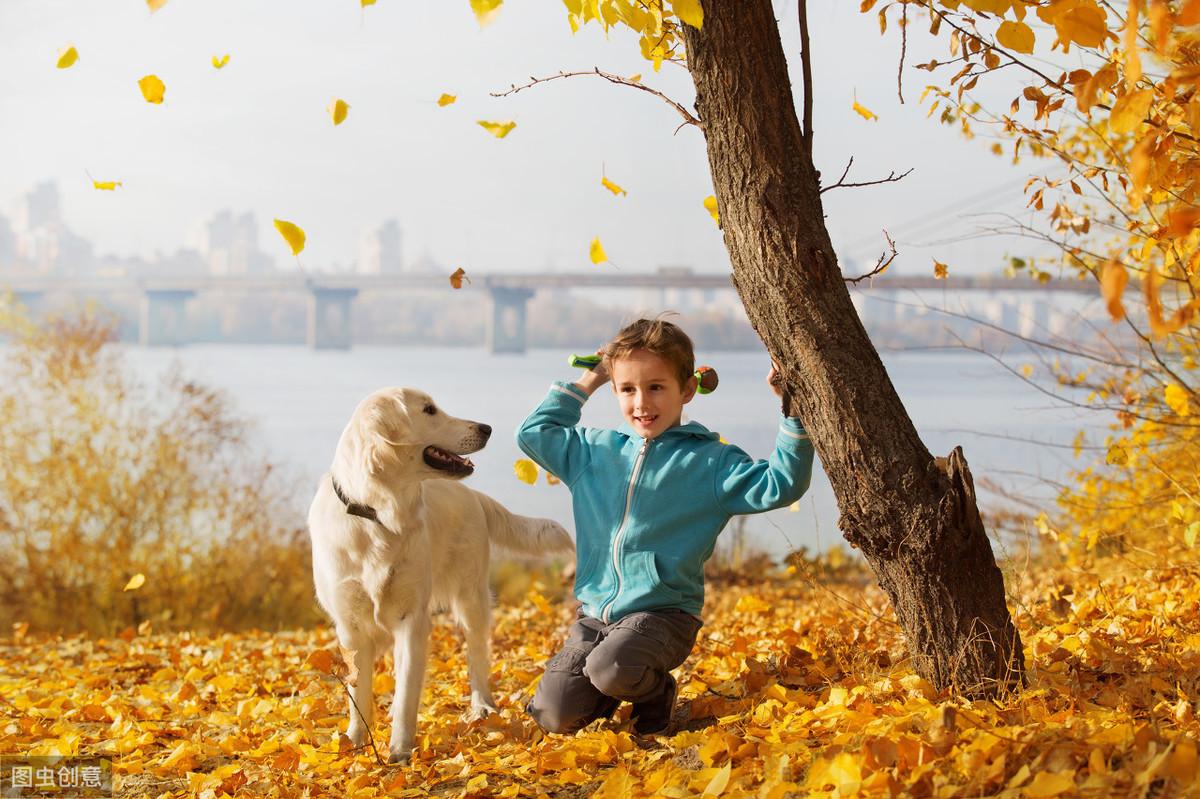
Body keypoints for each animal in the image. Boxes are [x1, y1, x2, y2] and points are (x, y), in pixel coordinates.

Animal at [307, 388, 573, 763]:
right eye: (429, 410)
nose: (486, 428)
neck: (379, 513)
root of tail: (474, 495)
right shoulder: (351, 625)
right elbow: (359, 688)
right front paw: (356, 740)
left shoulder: (413, 618)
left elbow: (408, 690)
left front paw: (400, 749)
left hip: (471, 597)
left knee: (477, 655)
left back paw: (482, 707)